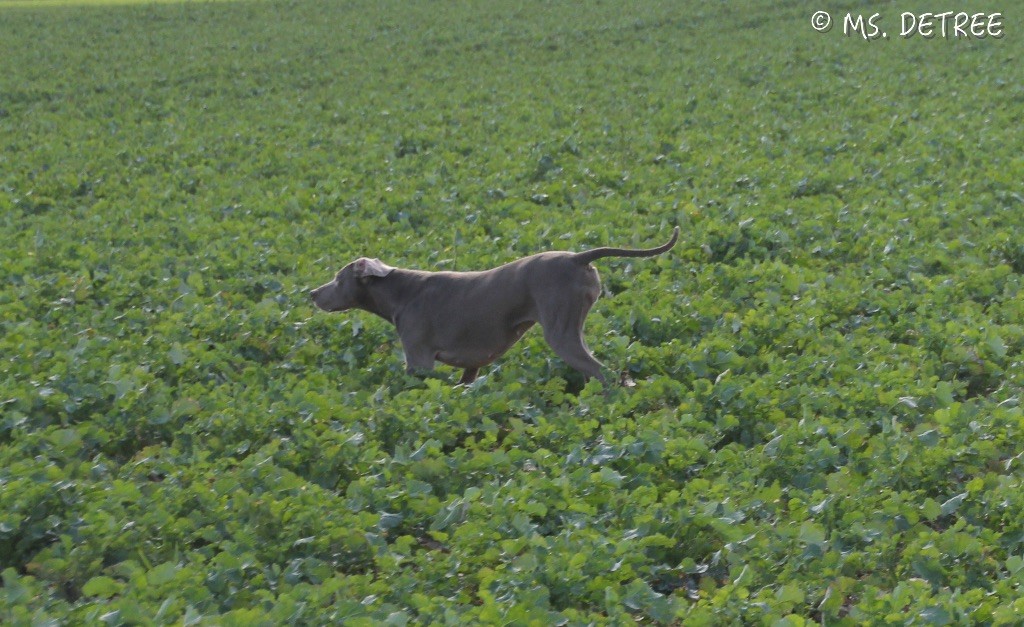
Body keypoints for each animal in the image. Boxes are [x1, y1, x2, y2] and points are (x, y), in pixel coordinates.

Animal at [311, 225, 679, 381]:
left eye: (337, 278)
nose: (311, 293)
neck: (401, 291)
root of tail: (578, 258)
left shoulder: (419, 359)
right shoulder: (471, 366)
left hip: (560, 330)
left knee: (601, 371)